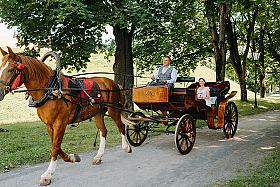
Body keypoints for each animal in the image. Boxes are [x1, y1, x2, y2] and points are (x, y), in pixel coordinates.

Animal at [0, 46, 133, 186]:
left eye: (10, 70)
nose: (0, 91)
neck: (50, 90)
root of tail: (113, 83)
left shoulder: (60, 123)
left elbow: (54, 148)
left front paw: (48, 174)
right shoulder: (49, 125)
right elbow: (56, 146)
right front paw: (72, 157)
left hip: (113, 110)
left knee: (121, 127)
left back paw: (126, 147)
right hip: (99, 113)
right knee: (103, 131)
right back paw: (98, 156)